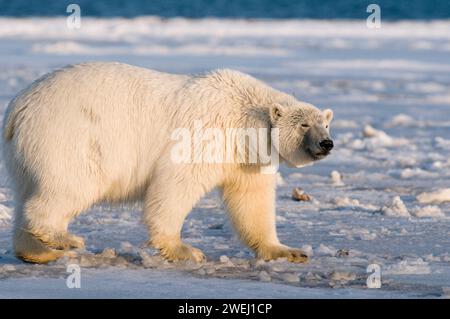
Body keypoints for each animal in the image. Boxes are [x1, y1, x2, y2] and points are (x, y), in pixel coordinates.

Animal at [2, 62, 334, 264]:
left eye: (325, 123)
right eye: (305, 125)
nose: (326, 144)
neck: (241, 113)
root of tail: (17, 108)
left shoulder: (245, 159)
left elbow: (252, 203)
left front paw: (290, 251)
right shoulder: (204, 135)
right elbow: (176, 186)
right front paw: (185, 250)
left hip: (27, 152)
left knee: (26, 193)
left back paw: (38, 251)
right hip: (70, 137)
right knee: (70, 186)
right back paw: (65, 238)